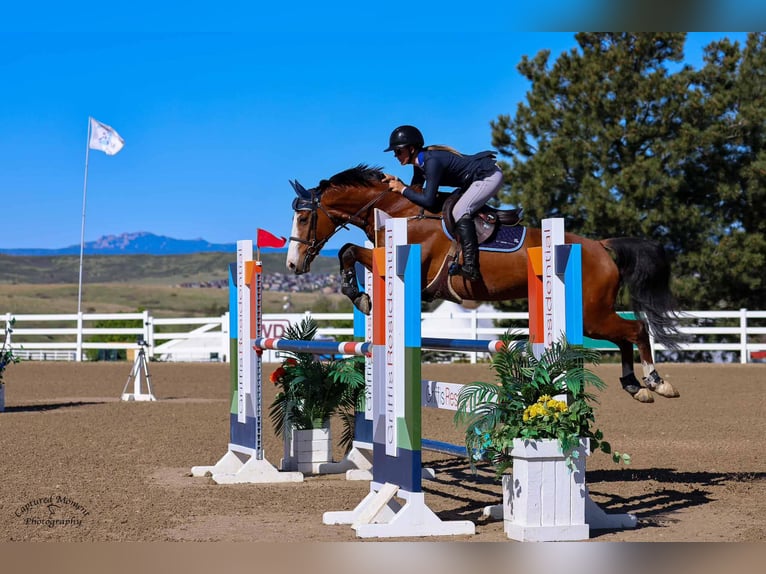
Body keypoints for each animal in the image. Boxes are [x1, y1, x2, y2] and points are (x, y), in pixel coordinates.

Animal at [288, 162, 684, 404]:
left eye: (304, 219)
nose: (293, 263)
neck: (400, 212)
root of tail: (601, 246)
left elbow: (348, 251)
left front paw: (360, 297)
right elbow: (350, 252)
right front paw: (361, 296)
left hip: (592, 313)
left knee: (636, 330)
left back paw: (657, 383)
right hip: (594, 315)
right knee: (626, 336)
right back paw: (635, 387)